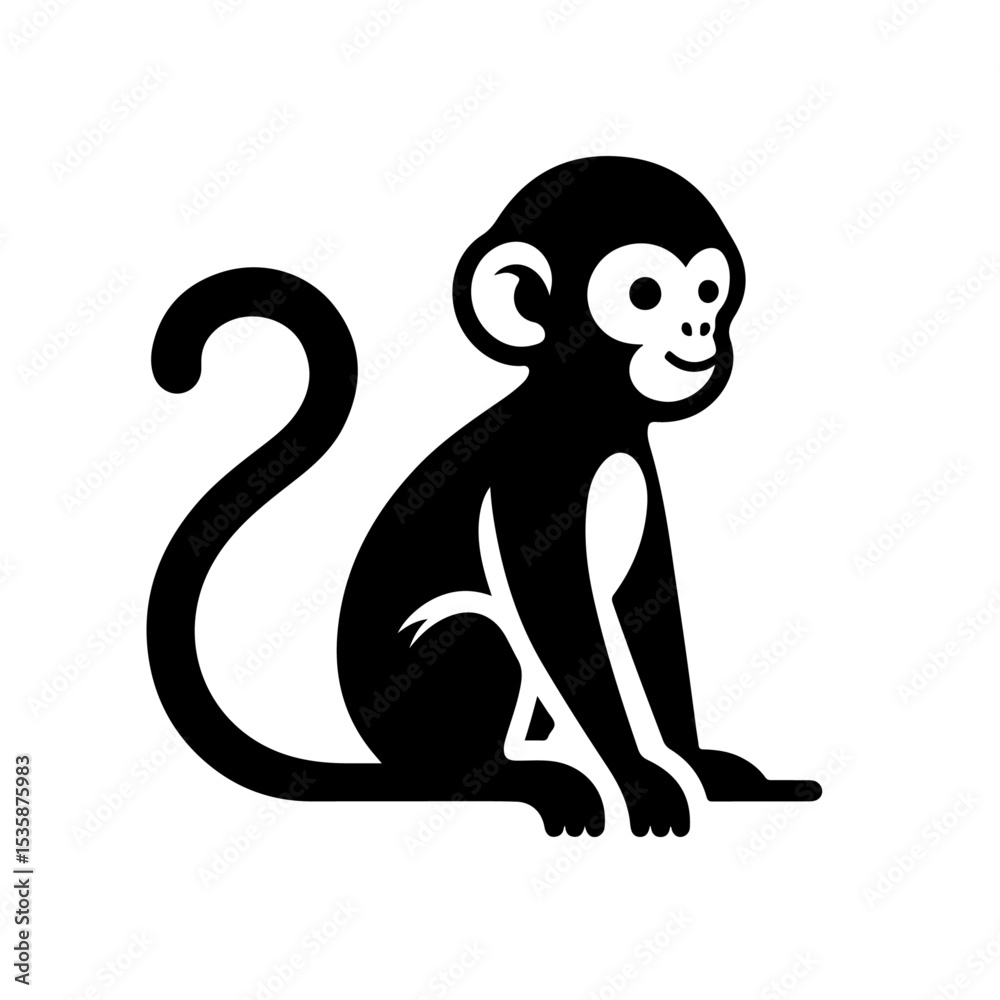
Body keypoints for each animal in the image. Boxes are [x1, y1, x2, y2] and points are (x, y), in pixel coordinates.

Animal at [148, 155, 821, 838]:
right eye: (644, 294)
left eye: (708, 290)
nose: (699, 328)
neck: (587, 414)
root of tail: (393, 761)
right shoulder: (537, 476)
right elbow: (559, 612)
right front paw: (641, 780)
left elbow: (645, 600)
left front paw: (694, 762)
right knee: (479, 626)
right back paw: (517, 778)